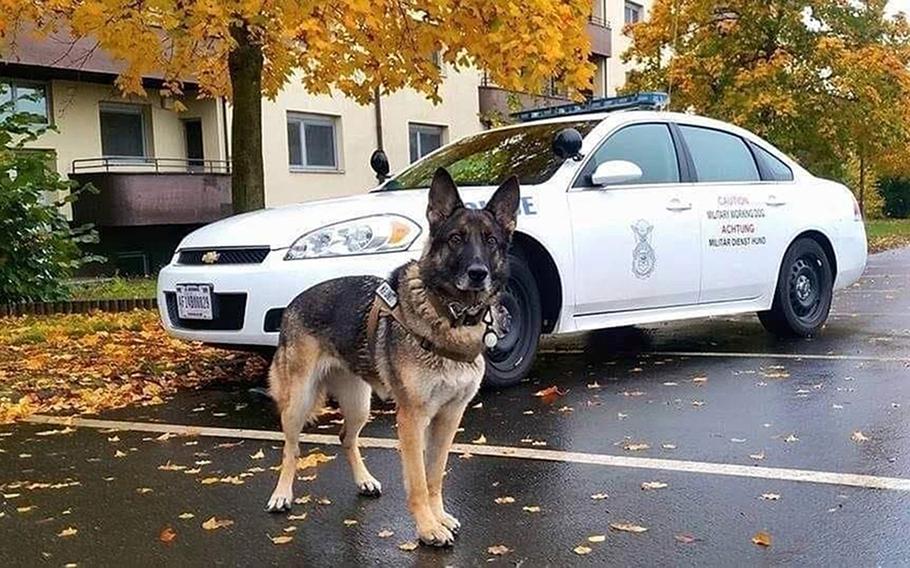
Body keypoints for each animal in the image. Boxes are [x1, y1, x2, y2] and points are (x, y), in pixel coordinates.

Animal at [266, 168, 520, 544]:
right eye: (456, 239)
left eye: (491, 241)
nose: (478, 273)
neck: (450, 315)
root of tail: (292, 304)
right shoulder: (412, 418)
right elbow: (417, 480)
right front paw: (428, 528)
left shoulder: (449, 418)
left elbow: (435, 475)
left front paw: (439, 517)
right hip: (299, 401)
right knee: (291, 447)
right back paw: (281, 494)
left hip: (359, 404)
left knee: (345, 437)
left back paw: (364, 481)